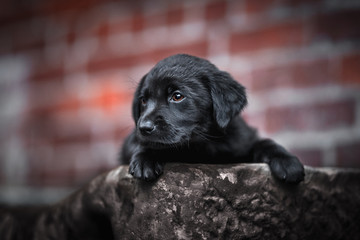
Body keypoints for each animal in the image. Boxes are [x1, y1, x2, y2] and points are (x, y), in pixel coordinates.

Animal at [119, 53, 306, 183]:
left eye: (177, 96)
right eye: (143, 100)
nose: (143, 128)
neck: (201, 145)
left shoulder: (242, 140)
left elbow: (263, 142)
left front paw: (287, 161)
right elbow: (146, 144)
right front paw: (146, 158)